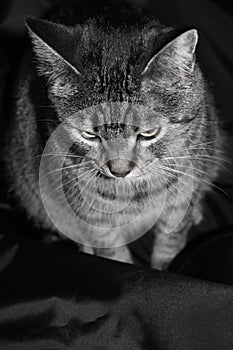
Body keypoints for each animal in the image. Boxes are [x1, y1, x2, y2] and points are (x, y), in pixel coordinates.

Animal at [4, 0, 223, 270]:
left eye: (148, 133)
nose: (119, 171)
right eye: (89, 135)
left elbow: (170, 243)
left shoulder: (181, 197)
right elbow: (113, 252)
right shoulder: (93, 216)